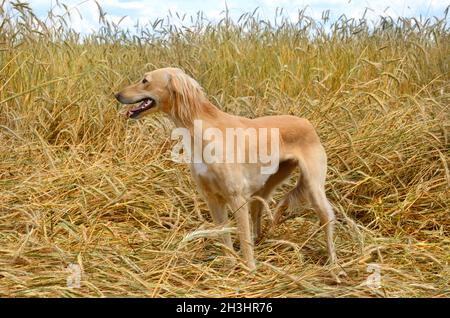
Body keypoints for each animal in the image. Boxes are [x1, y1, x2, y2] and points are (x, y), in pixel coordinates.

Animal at [114, 67, 336, 270]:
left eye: (145, 80)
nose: (117, 95)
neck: (202, 132)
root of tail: (307, 122)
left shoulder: (236, 197)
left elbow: (243, 241)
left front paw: (250, 271)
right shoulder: (212, 198)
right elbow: (225, 237)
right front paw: (230, 267)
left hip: (313, 186)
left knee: (327, 218)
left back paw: (333, 262)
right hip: (267, 184)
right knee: (258, 211)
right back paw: (260, 240)